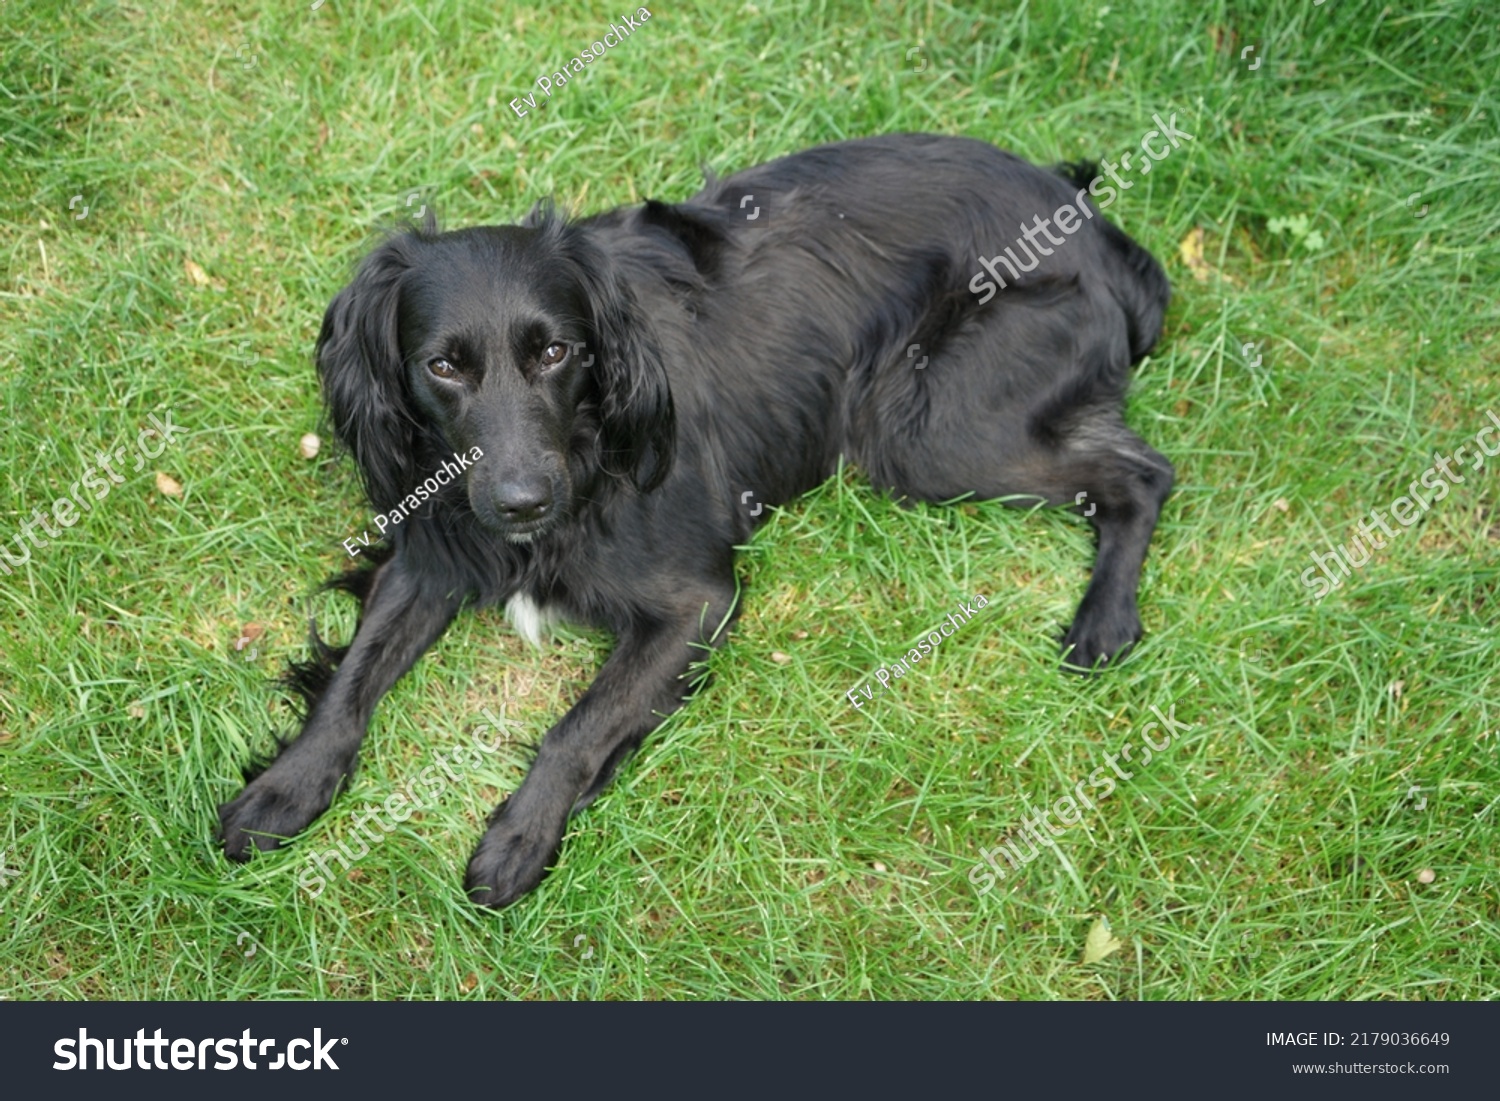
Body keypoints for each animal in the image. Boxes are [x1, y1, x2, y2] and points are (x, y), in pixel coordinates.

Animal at [219, 133, 1170, 912]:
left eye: (556, 351)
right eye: (443, 367)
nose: (524, 502)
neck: (583, 460)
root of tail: (1092, 222)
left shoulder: (698, 602)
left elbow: (580, 724)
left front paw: (520, 837)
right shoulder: (433, 549)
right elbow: (352, 679)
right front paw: (287, 787)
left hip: (921, 430)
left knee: (1145, 473)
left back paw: (1103, 622)